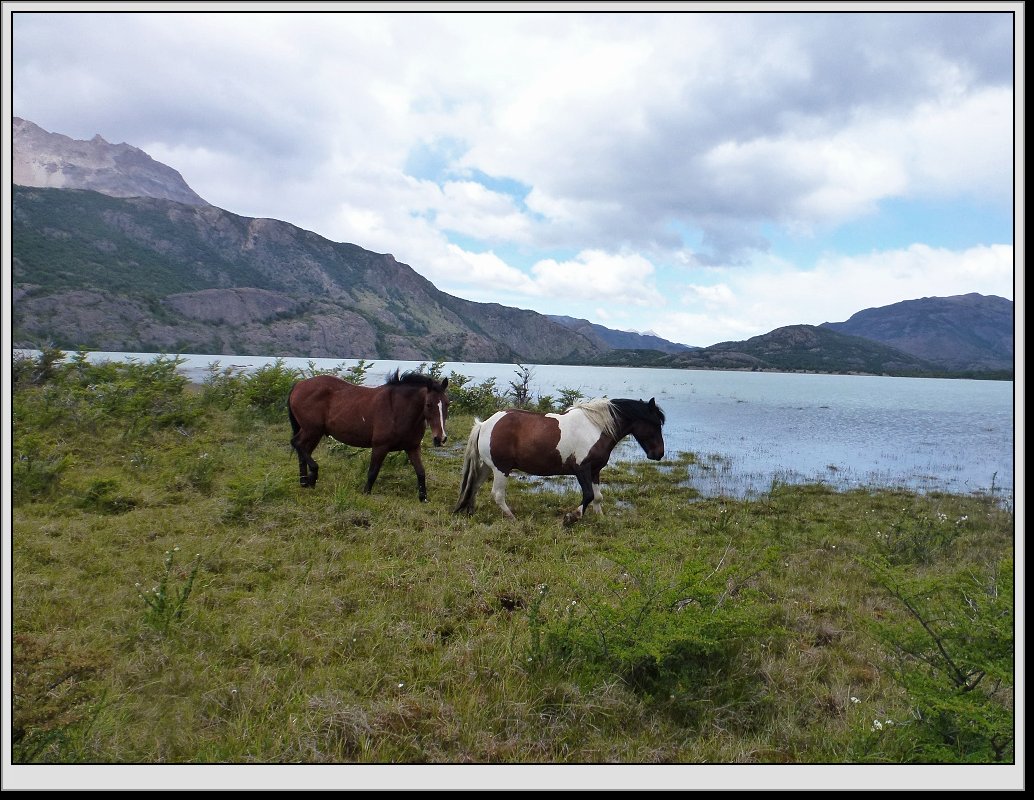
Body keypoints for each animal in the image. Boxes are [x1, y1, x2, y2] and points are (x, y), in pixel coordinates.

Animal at [291, 370, 452, 500]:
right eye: (429, 404)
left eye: (447, 403)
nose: (440, 438)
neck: (397, 409)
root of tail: (299, 385)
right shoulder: (380, 447)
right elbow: (372, 472)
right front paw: (366, 493)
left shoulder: (412, 448)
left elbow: (421, 472)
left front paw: (423, 498)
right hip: (312, 430)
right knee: (297, 444)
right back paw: (312, 476)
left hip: (314, 433)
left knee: (302, 449)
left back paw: (304, 481)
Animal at [454, 398, 665, 527]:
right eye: (655, 424)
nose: (659, 454)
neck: (595, 428)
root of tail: (484, 424)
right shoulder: (581, 469)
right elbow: (588, 495)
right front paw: (571, 517)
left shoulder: (595, 470)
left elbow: (598, 496)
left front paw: (600, 518)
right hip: (501, 469)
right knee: (497, 495)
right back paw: (512, 517)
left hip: (487, 467)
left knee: (474, 486)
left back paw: (470, 511)